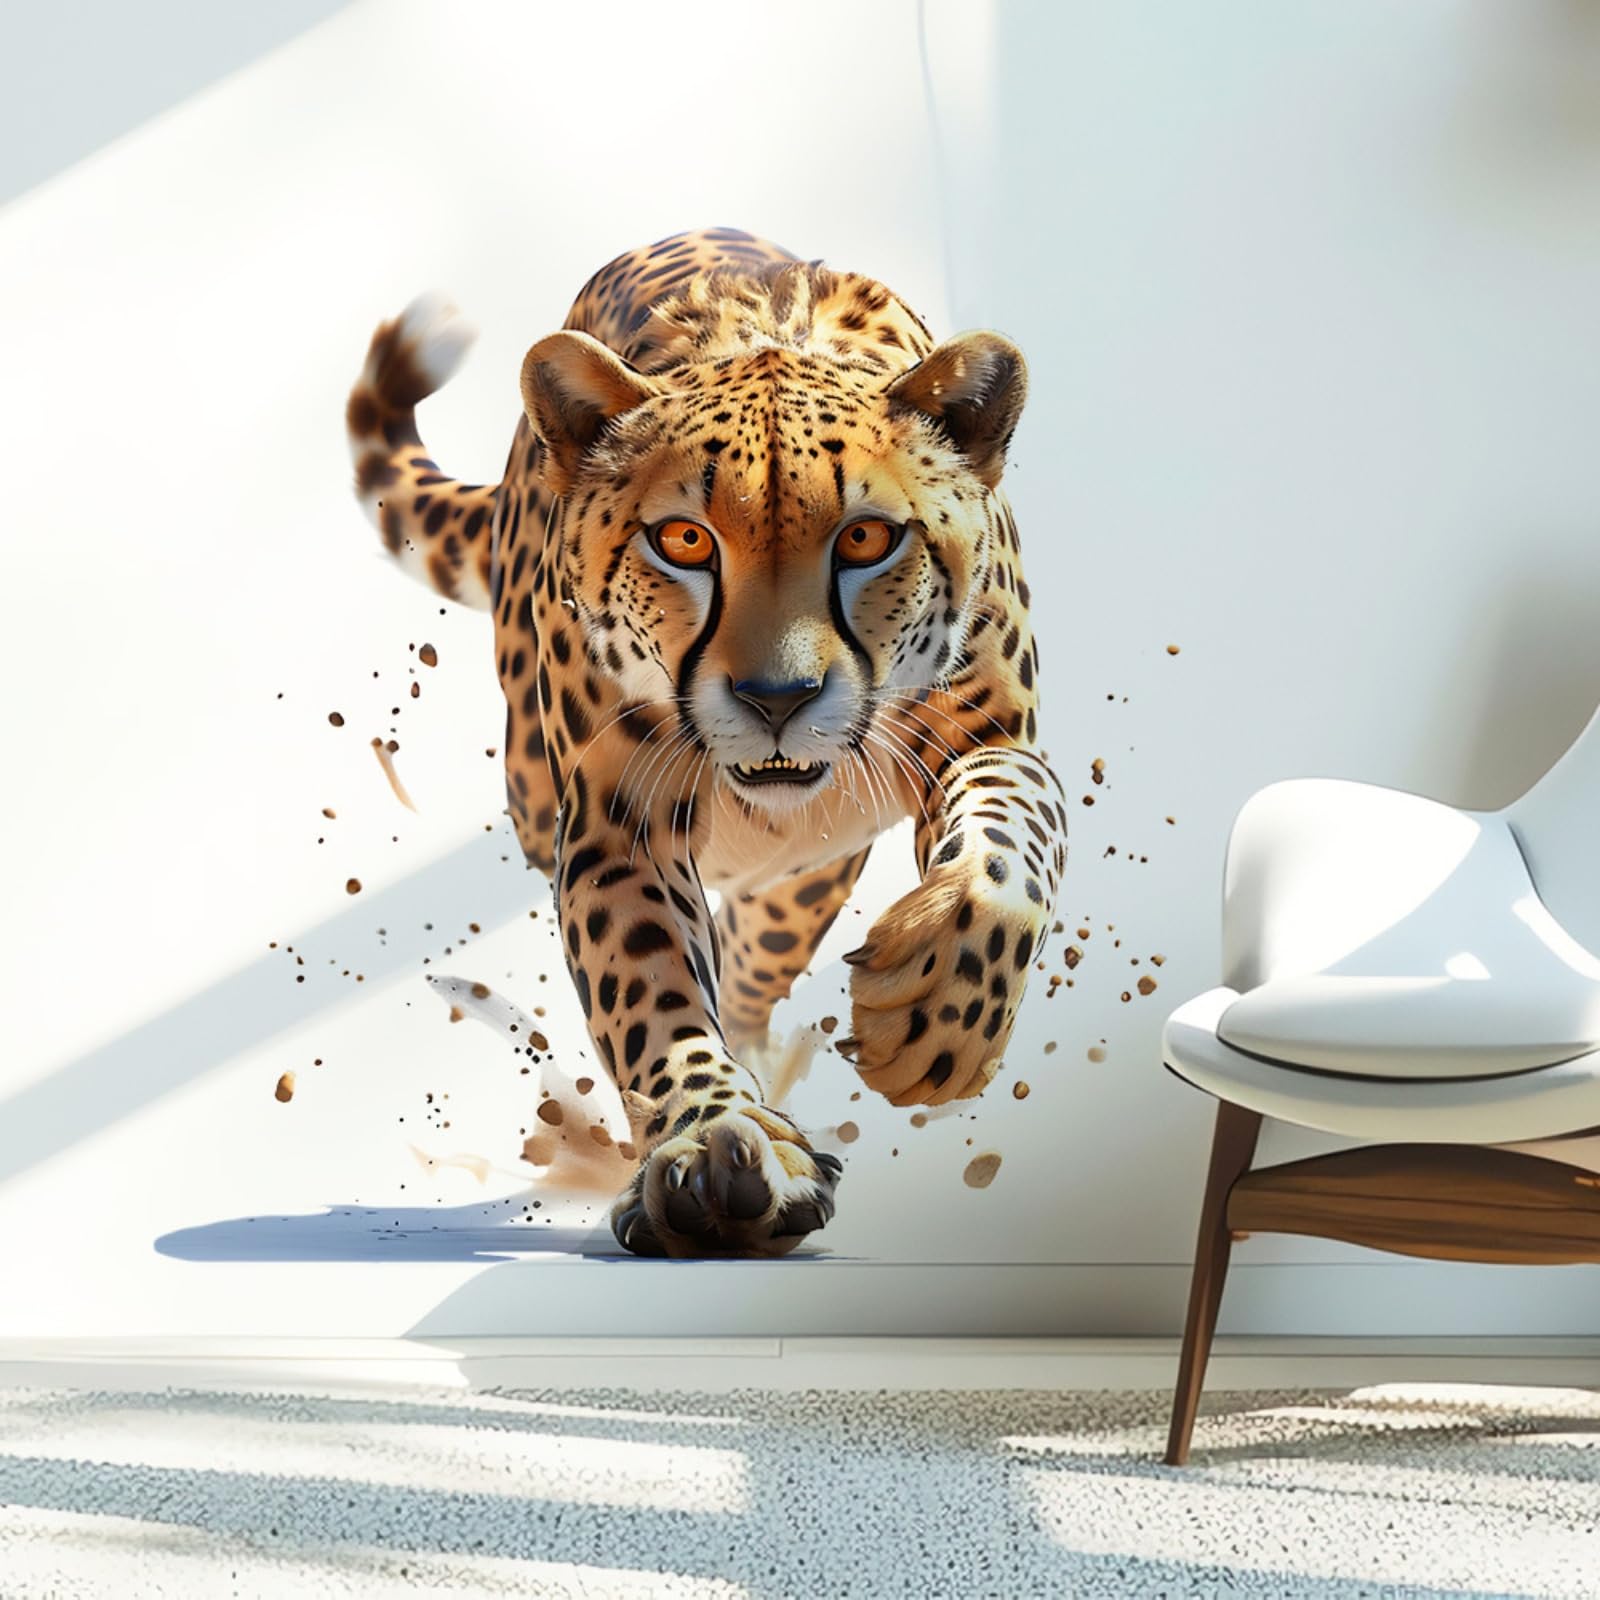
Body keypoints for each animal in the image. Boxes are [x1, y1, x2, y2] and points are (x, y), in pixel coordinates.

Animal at [345, 227, 1067, 1257]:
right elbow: (652, 992)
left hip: (815, 860)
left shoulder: (989, 738)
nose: (777, 699)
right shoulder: (616, 826)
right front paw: (716, 1147)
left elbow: (1015, 833)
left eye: (867, 540)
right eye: (684, 541)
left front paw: (935, 1022)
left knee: (766, 941)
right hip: (534, 789)